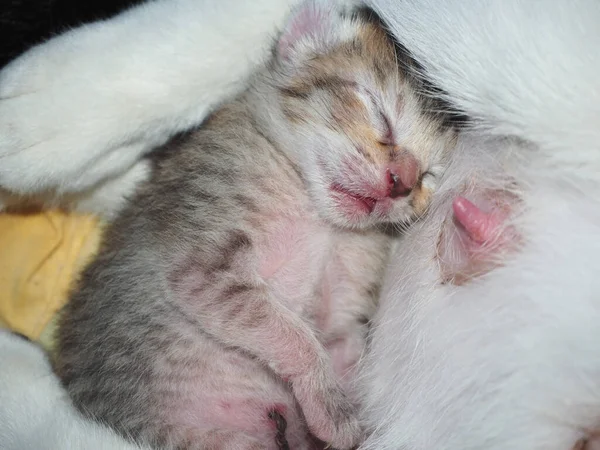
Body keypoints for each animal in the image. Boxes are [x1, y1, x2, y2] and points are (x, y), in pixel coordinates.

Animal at [56, 4, 458, 450]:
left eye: (429, 176)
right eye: (380, 113)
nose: (401, 180)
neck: (316, 210)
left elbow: (340, 335)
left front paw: (345, 376)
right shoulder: (204, 264)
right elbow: (291, 333)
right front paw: (330, 405)